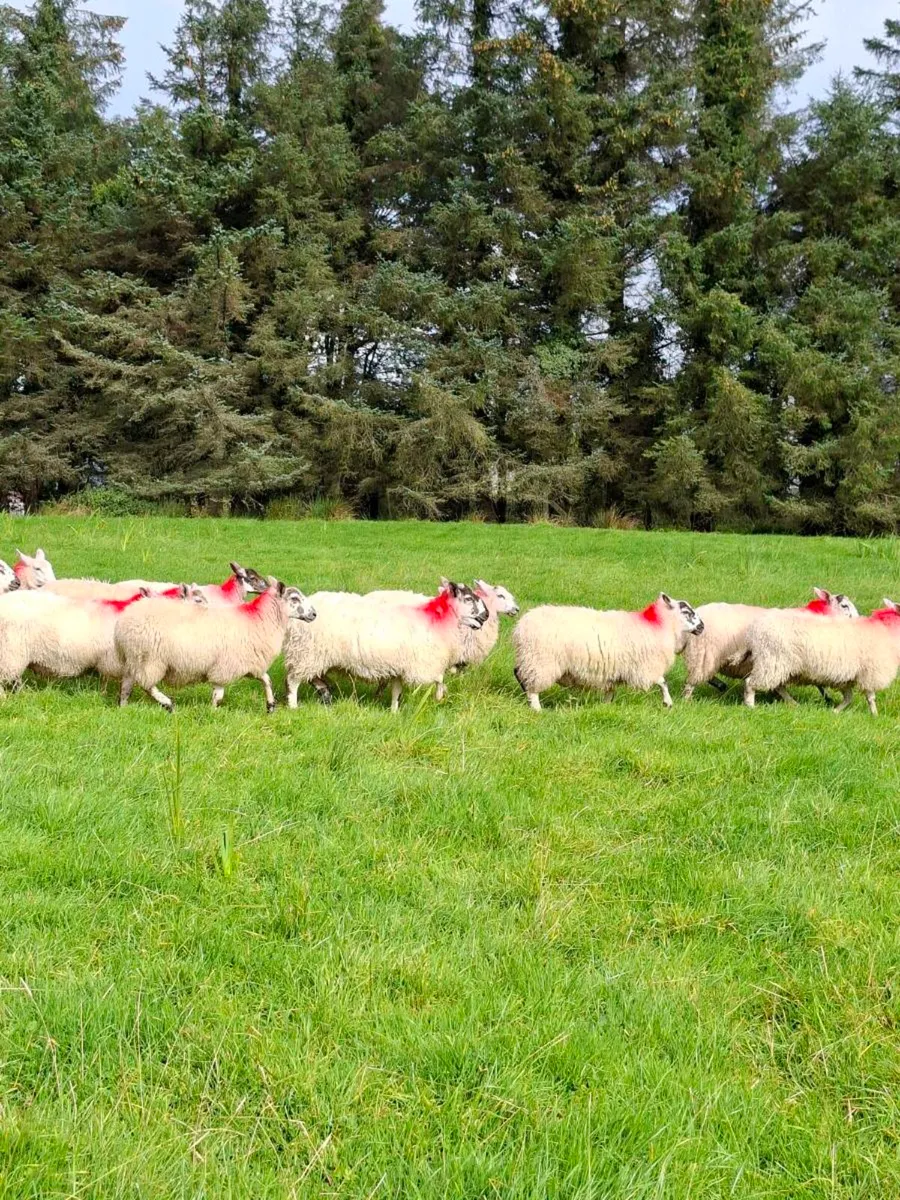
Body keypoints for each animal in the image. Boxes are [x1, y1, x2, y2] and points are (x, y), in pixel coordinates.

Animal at [115, 578, 316, 713]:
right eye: (295, 598)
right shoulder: (225, 666)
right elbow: (218, 694)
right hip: (150, 659)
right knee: (147, 685)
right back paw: (167, 703)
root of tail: (124, 622)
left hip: (133, 658)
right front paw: (213, 712)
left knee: (126, 686)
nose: (314, 614)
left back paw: (124, 707)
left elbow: (267, 680)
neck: (259, 619)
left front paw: (270, 706)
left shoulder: (251, 663)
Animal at [284, 581, 489, 712]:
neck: (438, 617)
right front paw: (440, 695)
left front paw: (394, 711)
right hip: (308, 653)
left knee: (313, 677)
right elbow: (439, 678)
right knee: (293, 680)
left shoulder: (400, 666)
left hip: (314, 656)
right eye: (468, 599)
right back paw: (294, 705)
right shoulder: (422, 663)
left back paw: (326, 692)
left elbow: (397, 691)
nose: (486, 615)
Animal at [512, 593, 704, 711]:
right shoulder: (644, 668)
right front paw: (668, 703)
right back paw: (536, 708)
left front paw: (606, 706)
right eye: (686, 611)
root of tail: (521, 626)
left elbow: (610, 692)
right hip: (540, 661)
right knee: (531, 684)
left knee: (518, 672)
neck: (659, 626)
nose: (702, 627)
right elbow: (663, 682)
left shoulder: (613, 673)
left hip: (529, 658)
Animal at [681, 588, 859, 701]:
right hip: (704, 653)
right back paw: (688, 699)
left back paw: (720, 685)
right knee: (693, 680)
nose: (859, 621)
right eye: (844, 605)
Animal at [744, 600, 900, 714]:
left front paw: (835, 711)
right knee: (751, 683)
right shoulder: (870, 672)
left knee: (778, 686)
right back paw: (751, 706)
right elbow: (870, 697)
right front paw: (875, 715)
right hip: (772, 661)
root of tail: (757, 628)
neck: (886, 629)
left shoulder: (846, 678)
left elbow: (849, 698)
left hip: (779, 665)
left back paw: (794, 703)